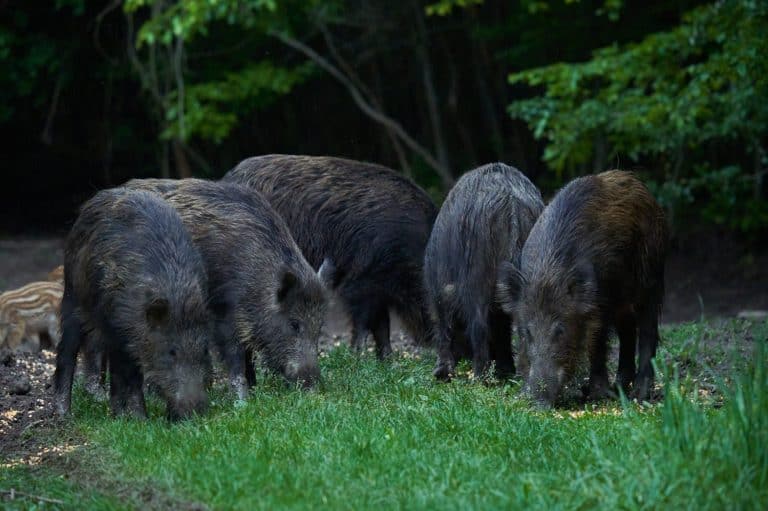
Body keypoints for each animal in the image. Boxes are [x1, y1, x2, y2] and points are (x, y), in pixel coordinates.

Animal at [53, 188, 214, 420]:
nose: (194, 411)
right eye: (172, 352)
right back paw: (64, 415)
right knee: (67, 351)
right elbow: (131, 376)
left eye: (204, 350)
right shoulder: (120, 329)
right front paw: (139, 419)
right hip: (72, 297)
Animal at [124, 178, 333, 394]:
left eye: (320, 326)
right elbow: (235, 355)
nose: (312, 387)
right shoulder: (223, 313)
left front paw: (254, 389)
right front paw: (242, 397)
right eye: (294, 324)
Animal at [223, 155, 438, 359]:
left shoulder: (379, 289)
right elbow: (365, 322)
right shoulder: (361, 281)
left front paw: (387, 360)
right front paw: (357, 357)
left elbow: (381, 325)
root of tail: (229, 176)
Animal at [497, 170, 668, 406]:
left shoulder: (600, 305)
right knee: (627, 332)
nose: (540, 403)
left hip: (651, 278)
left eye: (560, 330)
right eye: (527, 332)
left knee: (647, 331)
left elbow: (596, 345)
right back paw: (619, 388)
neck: (548, 273)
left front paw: (598, 395)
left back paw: (638, 395)